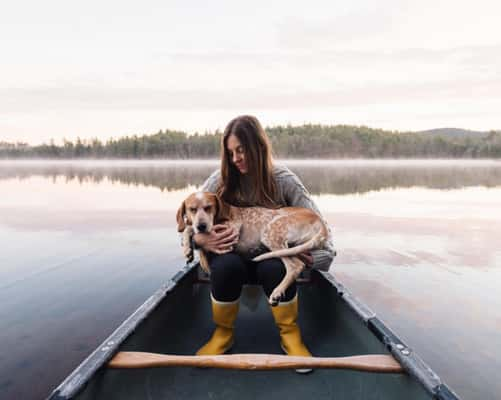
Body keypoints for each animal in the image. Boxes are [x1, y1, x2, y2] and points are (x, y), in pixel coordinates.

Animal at [177, 192, 328, 304]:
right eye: (192, 209)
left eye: (208, 207)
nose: (201, 226)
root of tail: (320, 222)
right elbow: (189, 229)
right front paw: (189, 250)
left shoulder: (229, 233)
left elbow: (193, 230)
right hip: (292, 246)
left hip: (270, 233)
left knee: (295, 266)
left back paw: (277, 292)